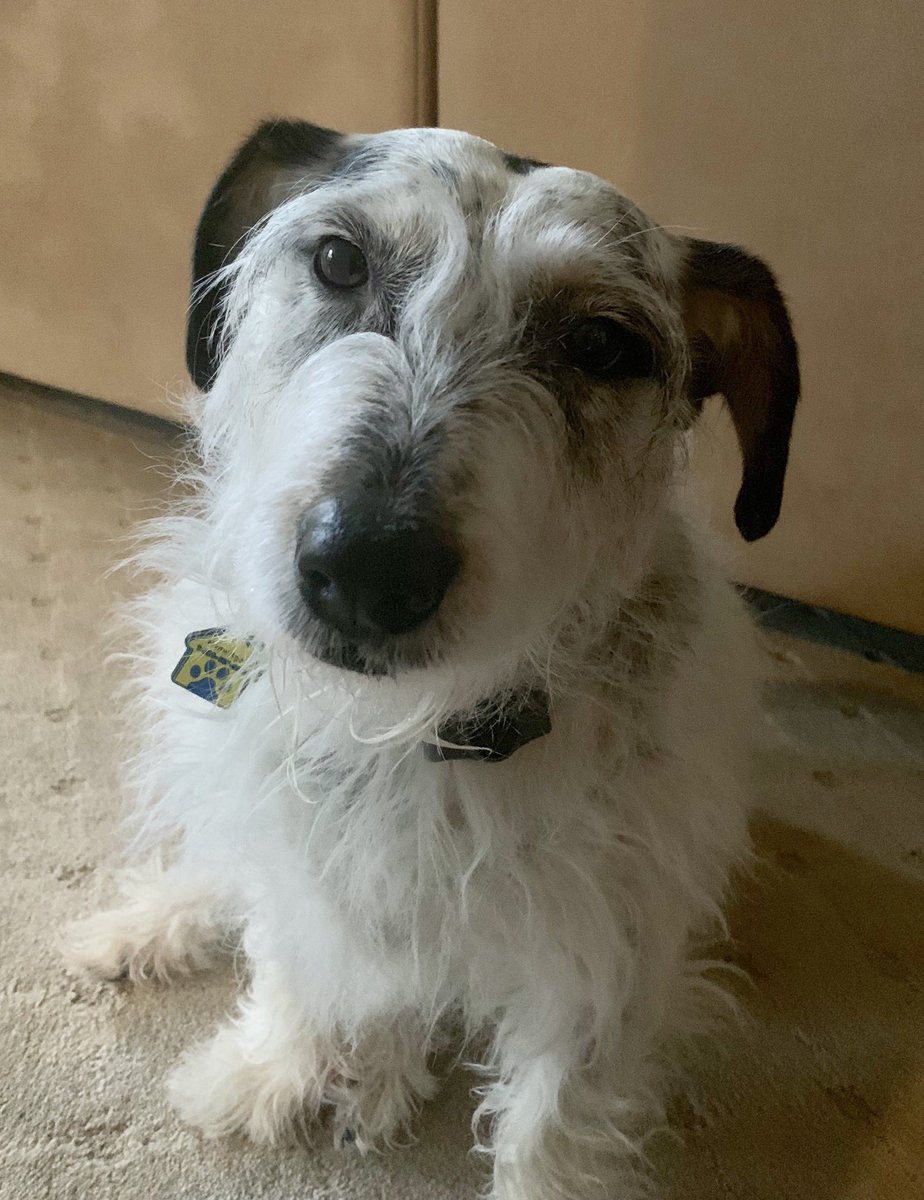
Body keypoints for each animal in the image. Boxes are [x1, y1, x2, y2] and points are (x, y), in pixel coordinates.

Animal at [64, 120, 799, 1199]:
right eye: (339, 260)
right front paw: (270, 1071)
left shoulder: (606, 965)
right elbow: (292, 956)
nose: (369, 567)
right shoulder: (300, 852)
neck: (419, 731)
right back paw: (145, 929)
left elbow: (551, 1129)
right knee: (224, 868)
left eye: (600, 345)